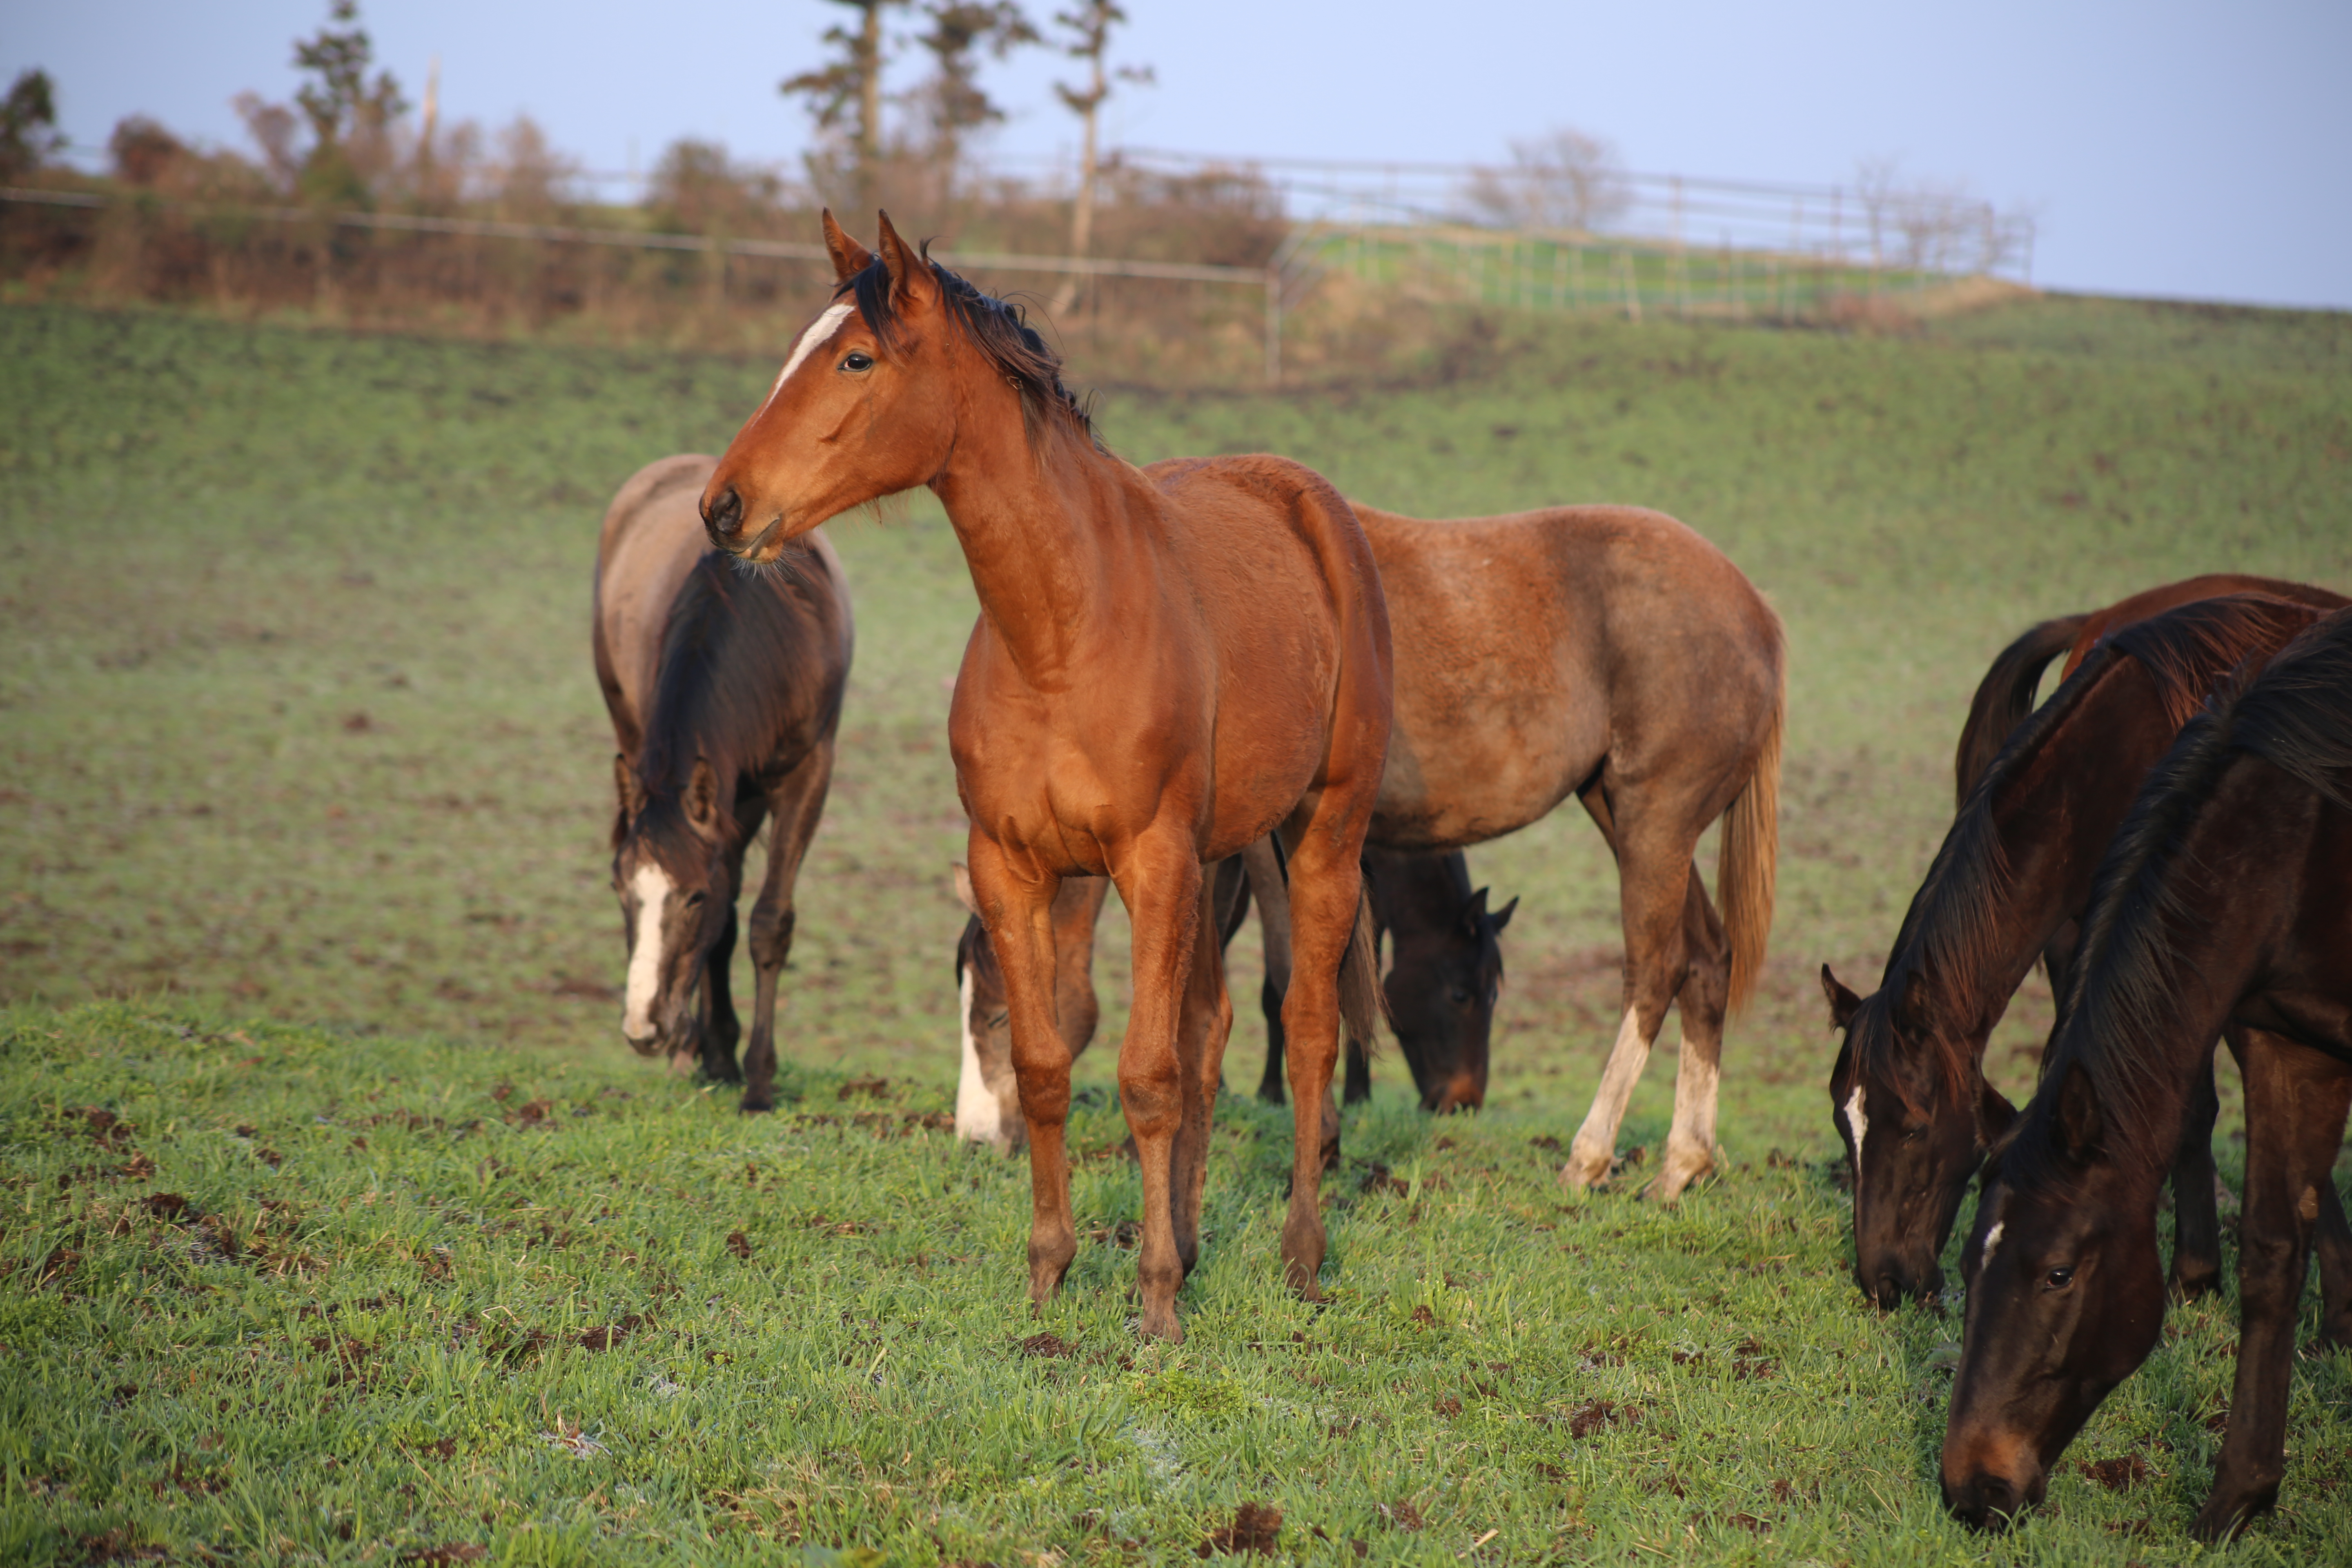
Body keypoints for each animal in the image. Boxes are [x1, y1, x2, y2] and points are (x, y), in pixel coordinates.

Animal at [588, 454, 856, 1114]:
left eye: (692, 898)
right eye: (619, 889)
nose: (645, 1030)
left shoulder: (806, 774)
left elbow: (766, 922)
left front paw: (757, 1081)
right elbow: (729, 921)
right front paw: (713, 1055)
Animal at [696, 215, 1392, 1345]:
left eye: (856, 359)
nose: (723, 506)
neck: (1064, 631)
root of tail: (1311, 506)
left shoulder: (1149, 862)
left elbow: (1145, 1079)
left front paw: (1155, 1308)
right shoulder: (1015, 869)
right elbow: (1046, 1067)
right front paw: (1053, 1275)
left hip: (1320, 837)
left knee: (1306, 1033)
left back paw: (1299, 1255)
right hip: (1219, 859)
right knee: (1208, 1032)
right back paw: (1194, 1239)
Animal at [1938, 606, 2352, 1542]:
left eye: (2059, 1274)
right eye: (1968, 1267)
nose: (1973, 1488)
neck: (2300, 839)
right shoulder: (2286, 1046)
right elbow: (2273, 1254)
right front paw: (2238, 1500)